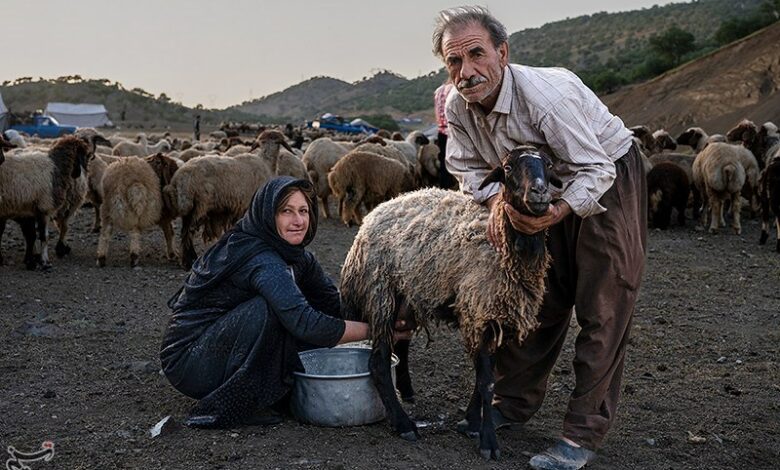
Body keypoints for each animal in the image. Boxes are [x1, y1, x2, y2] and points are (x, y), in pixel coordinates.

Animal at [0, 136, 90, 268]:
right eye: (81, 154)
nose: (77, 174)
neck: (57, 166)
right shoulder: (44, 208)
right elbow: (44, 236)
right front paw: (44, 261)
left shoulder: (32, 212)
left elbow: (34, 235)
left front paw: (34, 259)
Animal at [338, 146, 556, 458]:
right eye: (508, 167)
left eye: (549, 165)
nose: (539, 192)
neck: (507, 252)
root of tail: (375, 214)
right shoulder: (478, 309)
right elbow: (487, 381)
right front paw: (488, 442)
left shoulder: (495, 315)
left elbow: (485, 377)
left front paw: (471, 423)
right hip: (380, 292)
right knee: (378, 361)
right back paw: (403, 423)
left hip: (408, 293)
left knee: (400, 346)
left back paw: (407, 392)